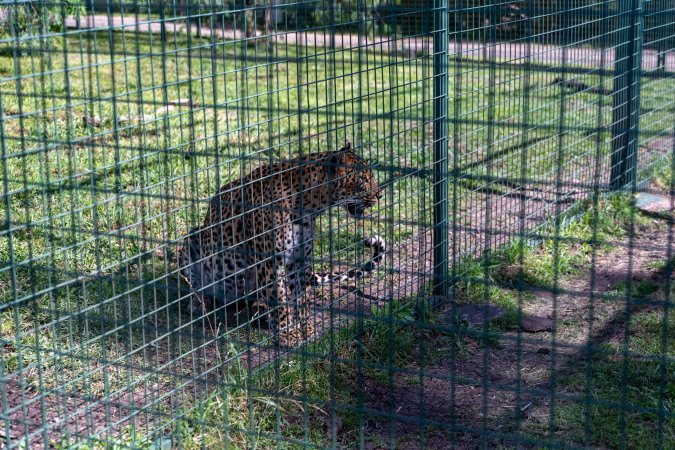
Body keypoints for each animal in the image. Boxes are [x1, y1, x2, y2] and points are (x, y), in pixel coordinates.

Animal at [178, 142, 385, 347]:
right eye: (363, 179)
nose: (380, 195)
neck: (309, 205)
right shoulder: (269, 263)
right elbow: (279, 299)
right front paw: (288, 334)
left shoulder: (300, 260)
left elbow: (302, 298)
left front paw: (306, 329)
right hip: (192, 238)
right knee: (195, 285)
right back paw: (199, 303)